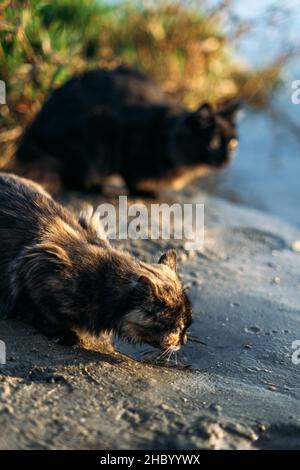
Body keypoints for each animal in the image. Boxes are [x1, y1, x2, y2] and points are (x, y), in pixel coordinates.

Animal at [13, 65, 239, 195]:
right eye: (214, 143)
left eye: (232, 143)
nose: (227, 159)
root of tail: (32, 131)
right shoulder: (126, 139)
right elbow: (132, 176)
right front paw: (145, 191)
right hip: (94, 138)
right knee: (73, 177)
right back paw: (99, 188)